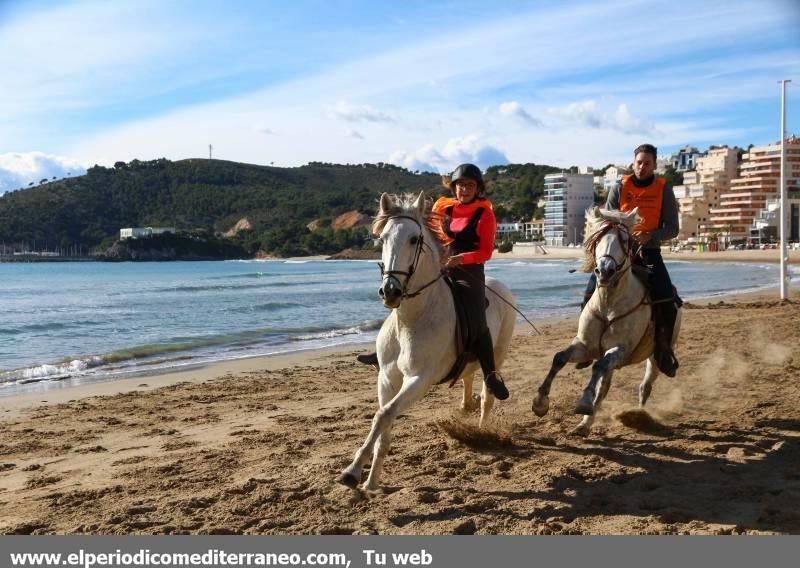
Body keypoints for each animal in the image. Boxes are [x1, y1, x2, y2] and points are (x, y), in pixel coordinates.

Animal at [336, 193, 512, 490]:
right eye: (382, 238)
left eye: (414, 239)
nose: (390, 291)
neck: (411, 320)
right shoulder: (386, 378)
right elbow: (384, 421)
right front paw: (371, 482)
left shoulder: (419, 379)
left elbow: (384, 415)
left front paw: (352, 471)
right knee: (468, 379)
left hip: (497, 355)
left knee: (488, 394)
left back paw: (482, 431)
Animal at [532, 206, 680, 438]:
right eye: (598, 238)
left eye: (626, 241)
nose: (605, 270)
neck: (609, 303)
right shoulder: (585, 346)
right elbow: (559, 358)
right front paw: (540, 402)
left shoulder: (620, 350)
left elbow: (598, 367)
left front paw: (583, 400)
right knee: (604, 388)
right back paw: (584, 425)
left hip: (656, 356)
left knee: (644, 386)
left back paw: (638, 415)